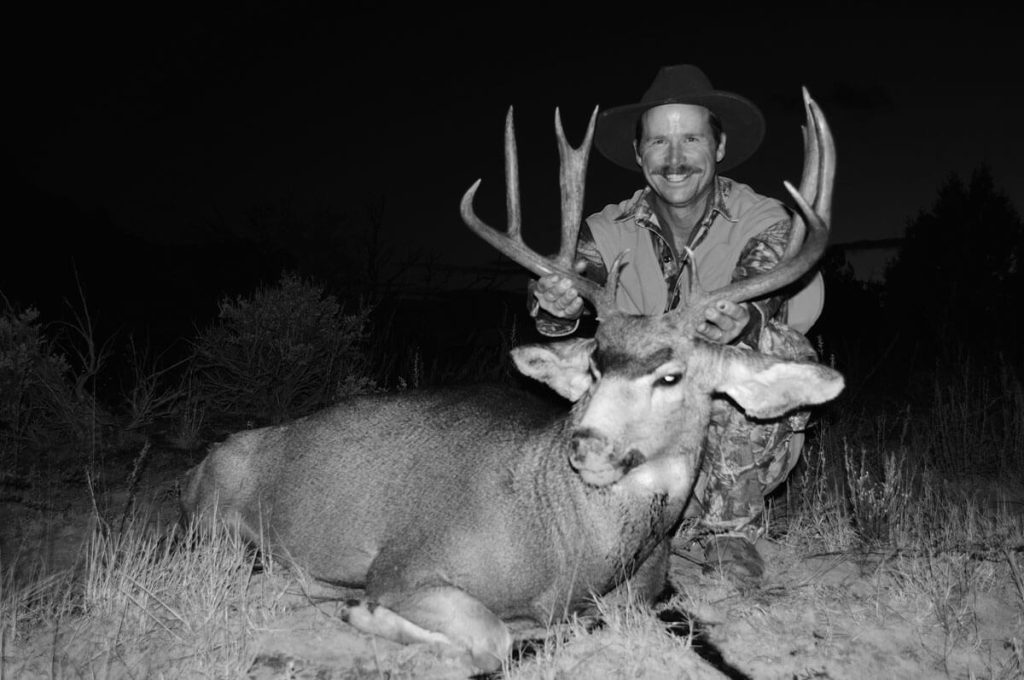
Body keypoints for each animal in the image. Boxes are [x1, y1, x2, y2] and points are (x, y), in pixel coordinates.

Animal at [180, 87, 843, 671]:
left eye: (671, 375)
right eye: (596, 364)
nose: (586, 446)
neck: (565, 546)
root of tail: (204, 462)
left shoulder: (643, 595)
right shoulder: (405, 564)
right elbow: (490, 636)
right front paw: (361, 614)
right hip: (215, 527)